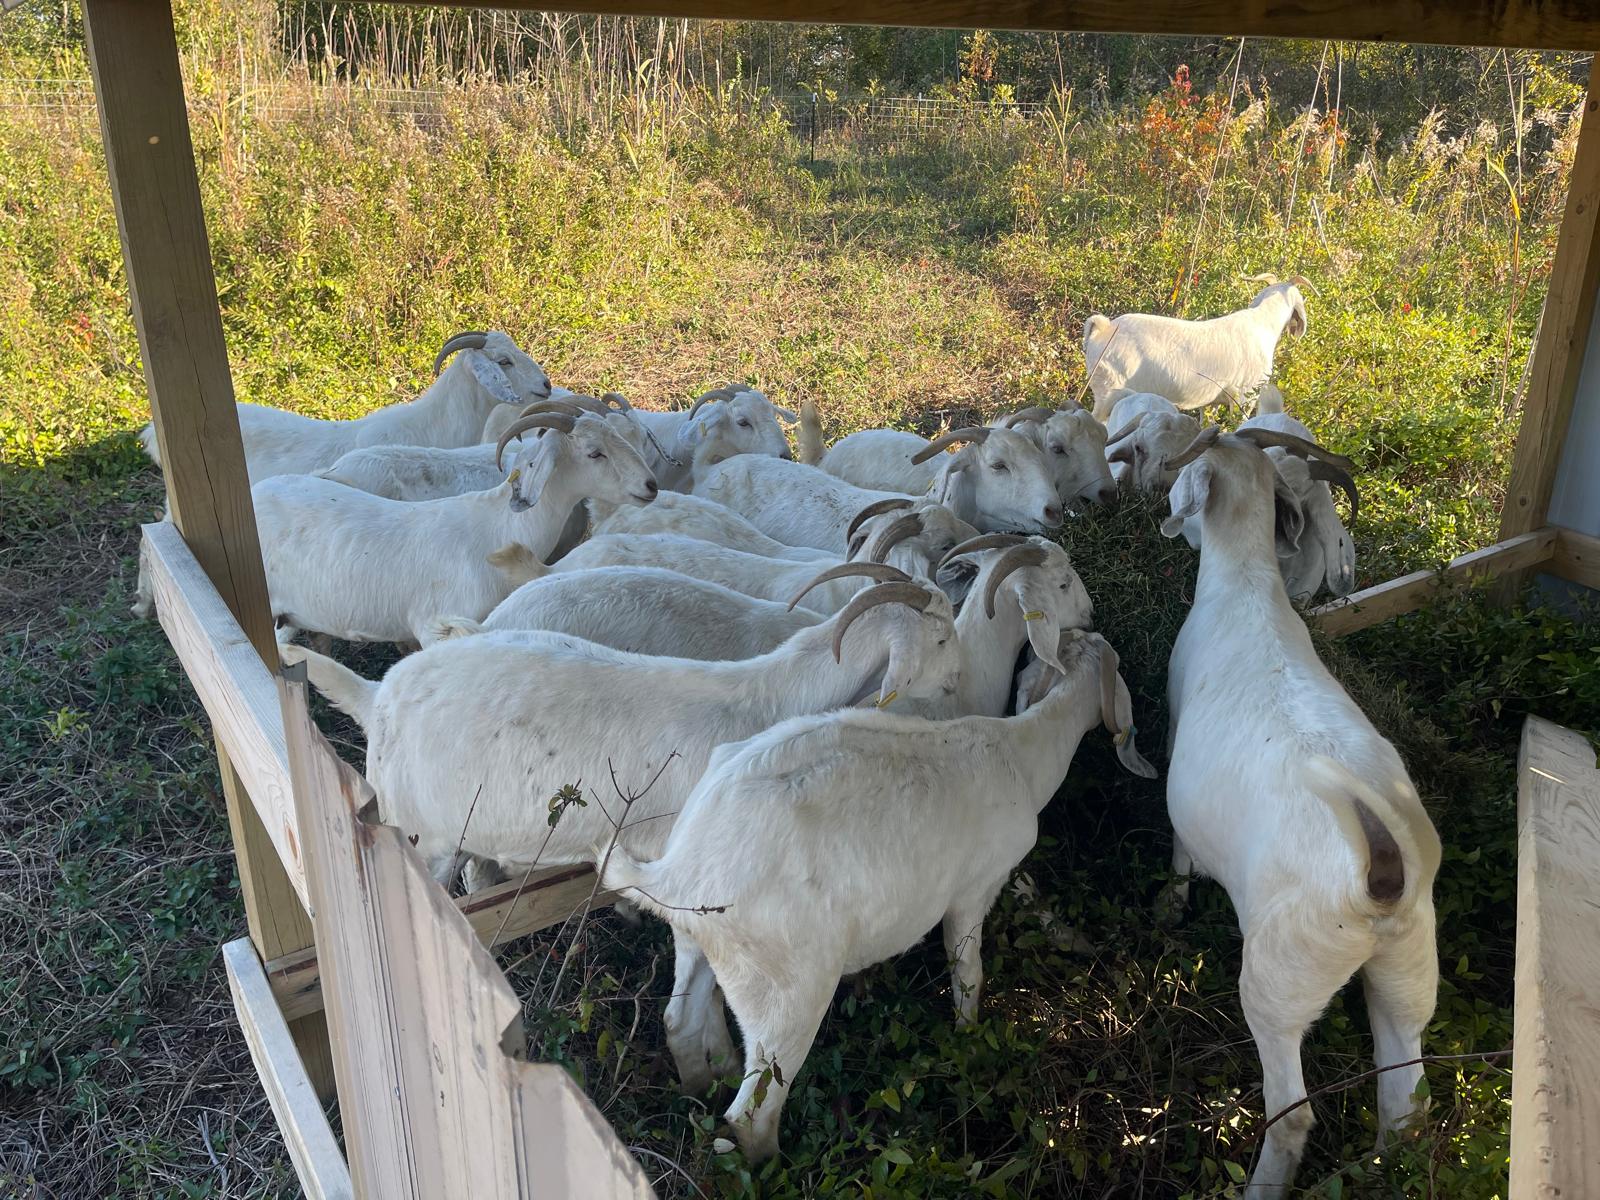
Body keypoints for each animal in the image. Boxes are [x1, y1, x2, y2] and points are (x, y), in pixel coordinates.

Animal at [597, 628, 1153, 1160]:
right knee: (752, 1112)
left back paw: (697, 1093)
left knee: (680, 1023)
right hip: (785, 988)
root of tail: (678, 869)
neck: (1023, 752)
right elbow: (968, 973)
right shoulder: (974, 888)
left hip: (701, 939)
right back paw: (774, 1161)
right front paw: (969, 1039)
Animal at [1159, 424, 1441, 1197]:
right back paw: (1373, 1170)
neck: (1248, 586)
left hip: (1280, 980)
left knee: (1292, 1115)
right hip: (1409, 969)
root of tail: (1380, 877)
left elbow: (1179, 845)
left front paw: (1172, 901)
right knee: (1406, 1103)